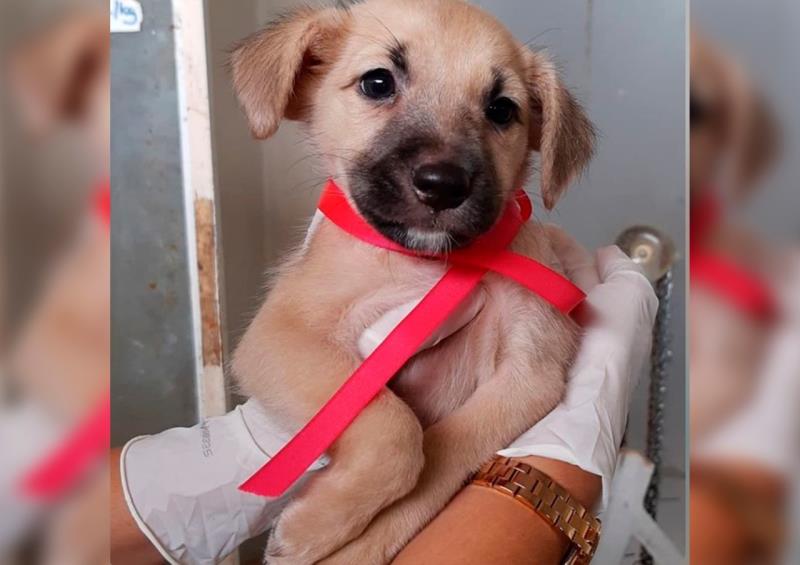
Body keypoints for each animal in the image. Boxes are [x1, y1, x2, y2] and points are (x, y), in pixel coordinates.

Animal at [230, 1, 595, 563]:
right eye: (377, 82)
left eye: (502, 109)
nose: (442, 185)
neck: (429, 265)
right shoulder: (282, 332)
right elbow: (394, 430)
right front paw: (319, 524)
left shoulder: (528, 373)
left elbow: (440, 455)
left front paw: (335, 535)